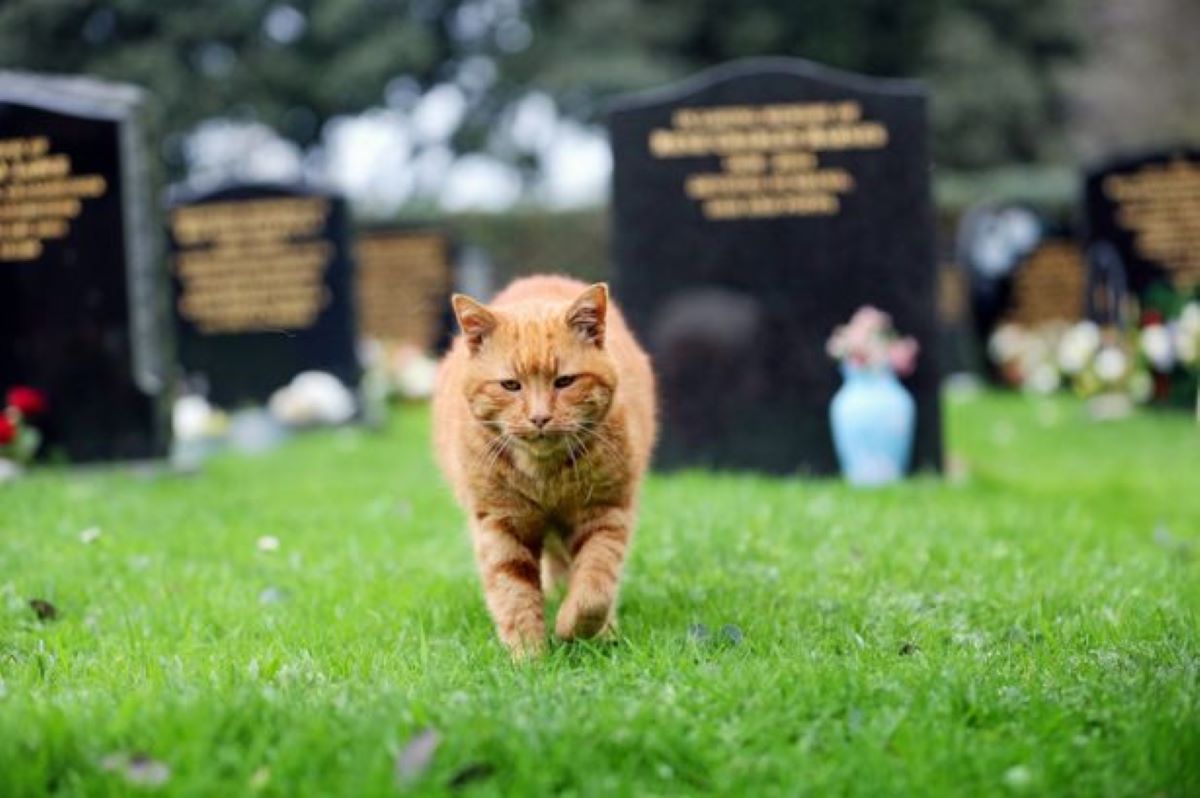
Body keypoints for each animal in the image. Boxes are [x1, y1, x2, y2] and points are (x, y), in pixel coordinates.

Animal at [432, 277, 657, 657]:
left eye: (564, 381)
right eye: (510, 385)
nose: (539, 418)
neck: (544, 474)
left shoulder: (605, 514)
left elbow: (594, 588)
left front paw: (572, 627)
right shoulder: (500, 524)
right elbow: (513, 593)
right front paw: (529, 657)